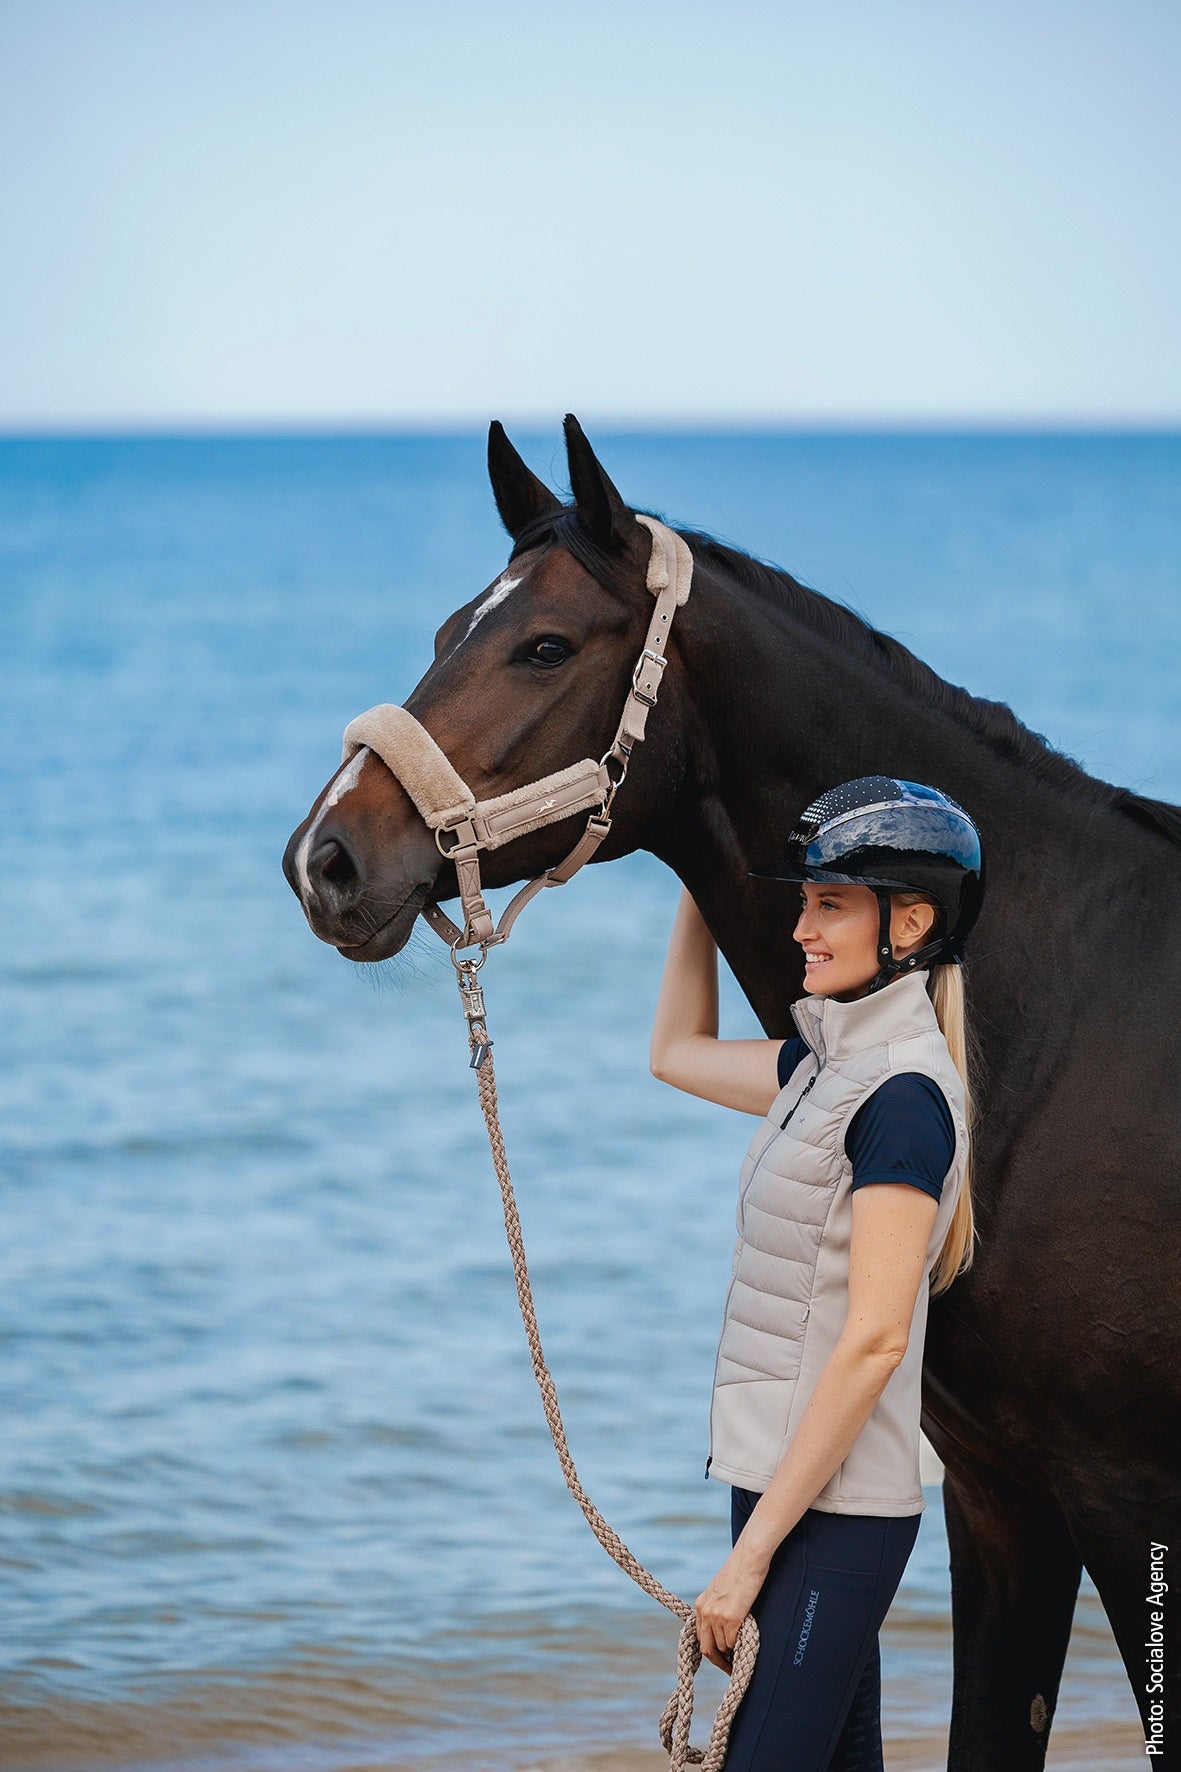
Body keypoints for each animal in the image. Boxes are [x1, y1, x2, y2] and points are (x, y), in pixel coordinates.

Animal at [283, 415, 1181, 1768]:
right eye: (446, 632)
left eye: (544, 644)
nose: (324, 858)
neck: (1057, 1021)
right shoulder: (1001, 1496)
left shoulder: (1124, 1498)